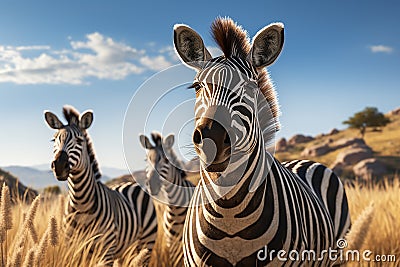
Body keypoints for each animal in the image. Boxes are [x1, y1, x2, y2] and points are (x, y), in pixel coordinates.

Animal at [43, 105, 156, 266]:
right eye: (54, 139)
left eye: (79, 140)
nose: (59, 166)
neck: (81, 205)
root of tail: (132, 183)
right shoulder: (72, 247)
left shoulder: (107, 251)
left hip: (147, 243)